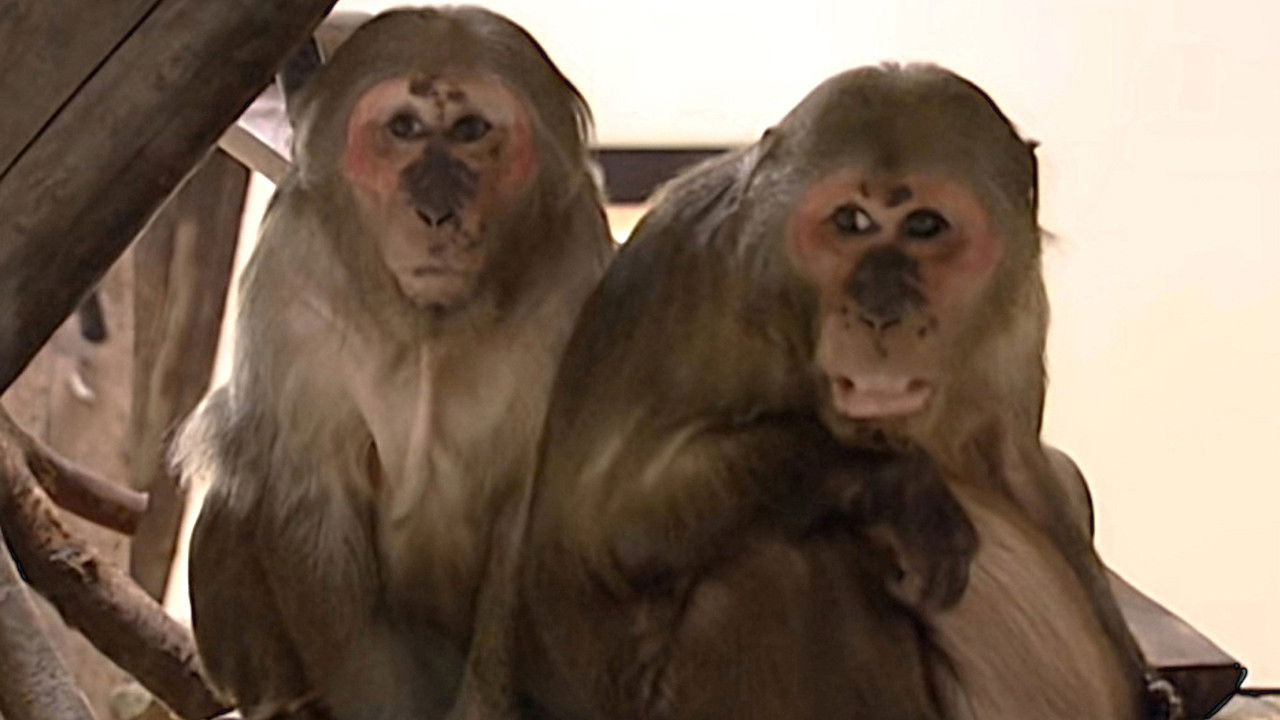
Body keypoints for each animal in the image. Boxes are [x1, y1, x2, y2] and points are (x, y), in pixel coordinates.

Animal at [174, 8, 613, 720]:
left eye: (470, 130)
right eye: (404, 128)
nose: (435, 210)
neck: (432, 320)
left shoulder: (576, 282)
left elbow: (537, 507)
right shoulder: (293, 275)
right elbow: (308, 490)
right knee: (243, 474)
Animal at [451, 63, 1179, 720]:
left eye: (925, 225)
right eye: (851, 221)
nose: (880, 309)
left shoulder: (1019, 304)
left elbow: (1021, 463)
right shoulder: (705, 275)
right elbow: (601, 523)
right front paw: (898, 485)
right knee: (782, 569)